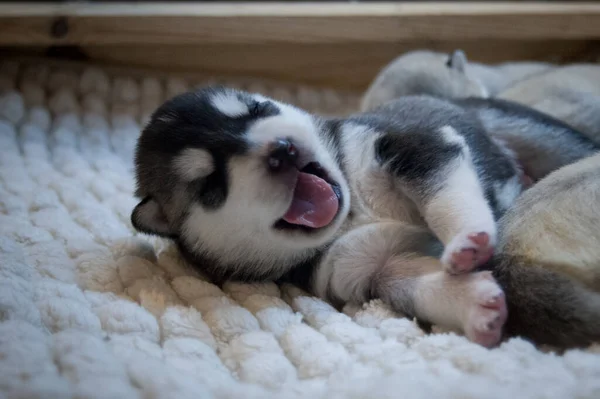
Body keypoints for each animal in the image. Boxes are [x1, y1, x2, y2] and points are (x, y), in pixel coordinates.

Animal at [132, 86, 600, 346]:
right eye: (210, 185)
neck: (353, 211)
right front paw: (474, 305)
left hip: (538, 136)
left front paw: (467, 238)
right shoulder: (366, 269)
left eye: (257, 110)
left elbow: (445, 197)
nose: (283, 149)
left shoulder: (415, 147)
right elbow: (415, 285)